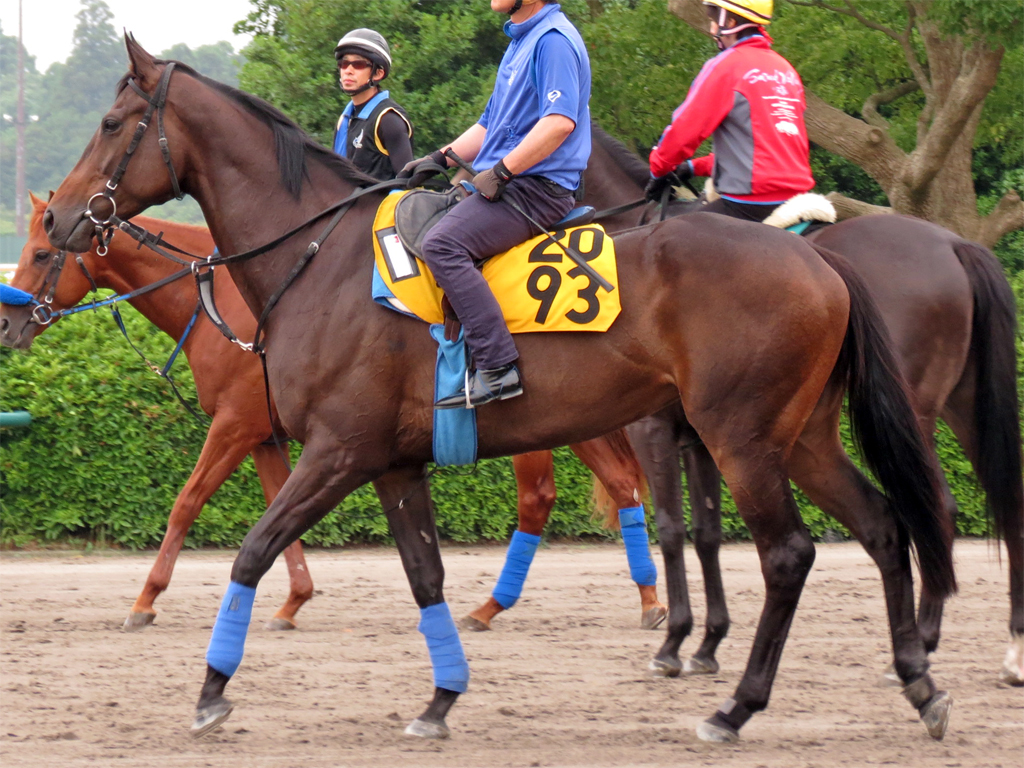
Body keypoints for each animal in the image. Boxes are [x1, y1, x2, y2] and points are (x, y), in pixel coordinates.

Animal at [0, 191, 313, 630]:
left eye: (42, 254)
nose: (5, 324)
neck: (219, 300)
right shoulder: (264, 437)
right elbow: (278, 512)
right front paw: (293, 601)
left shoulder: (235, 424)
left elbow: (187, 503)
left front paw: (146, 599)